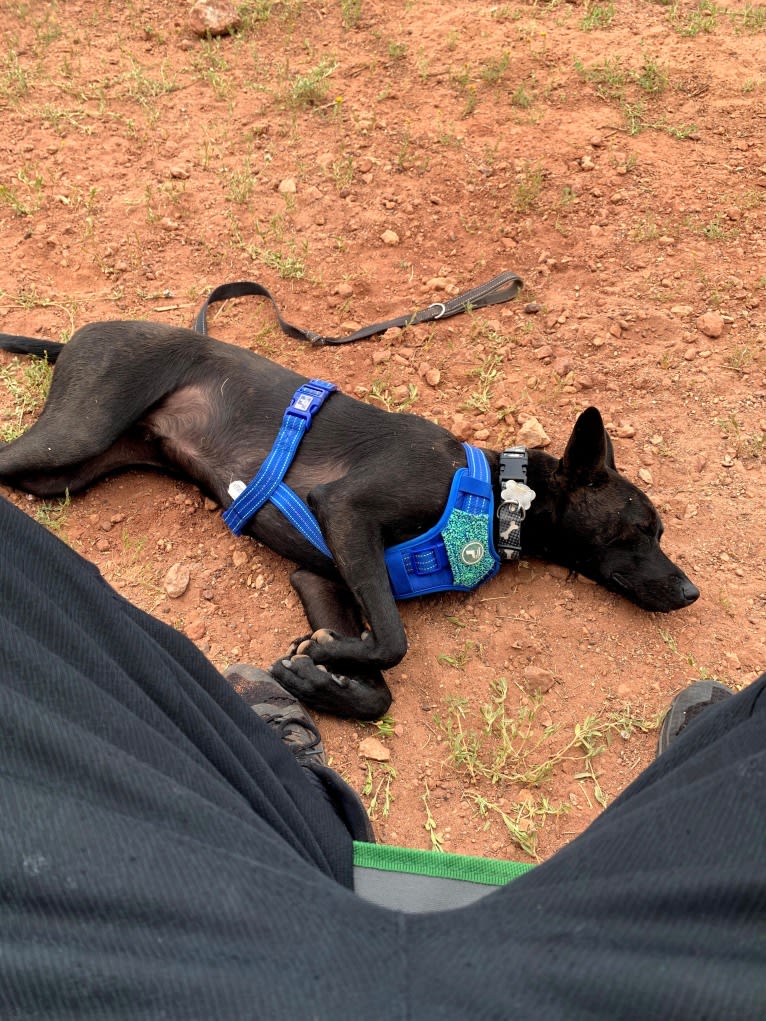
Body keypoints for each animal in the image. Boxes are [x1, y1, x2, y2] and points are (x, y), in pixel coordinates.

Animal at [0, 324, 702, 718]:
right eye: (637, 531)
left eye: (660, 533)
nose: (691, 591)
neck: (496, 495)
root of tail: (75, 338)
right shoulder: (348, 512)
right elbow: (393, 642)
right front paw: (326, 659)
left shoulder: (324, 576)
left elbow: (377, 683)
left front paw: (317, 677)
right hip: (77, 432)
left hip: (68, 474)